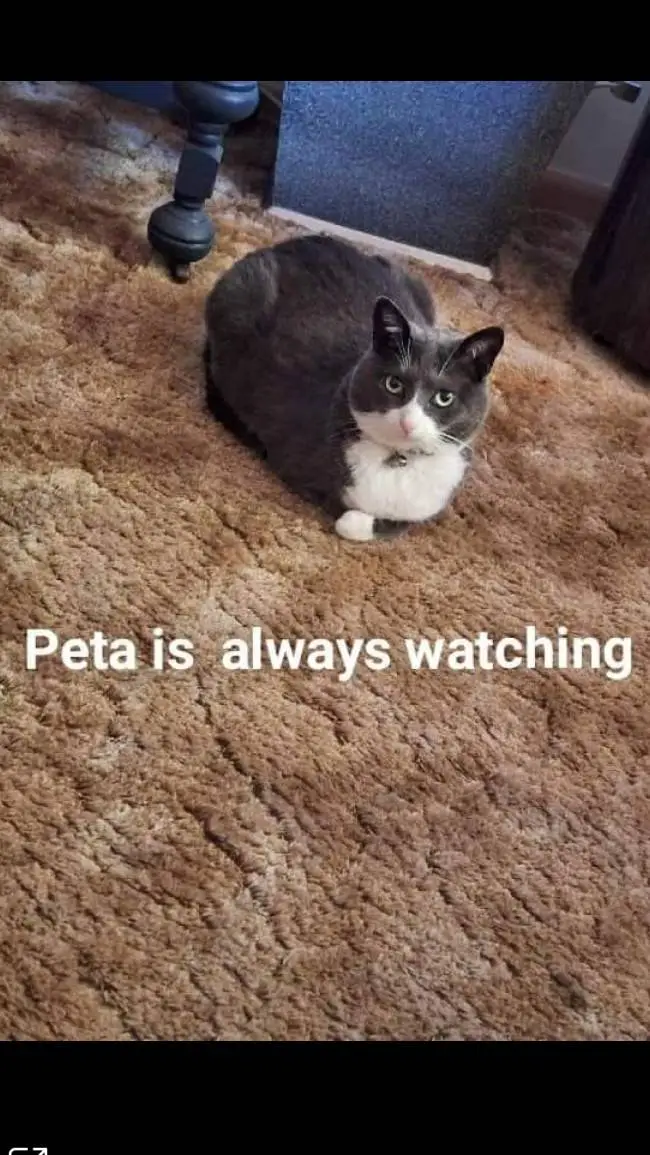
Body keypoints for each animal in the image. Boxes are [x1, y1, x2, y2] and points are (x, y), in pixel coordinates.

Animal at [204, 234, 504, 542]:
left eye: (444, 397)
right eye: (393, 383)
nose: (408, 423)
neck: (399, 459)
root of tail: (291, 242)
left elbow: (400, 522)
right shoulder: (293, 454)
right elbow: (344, 510)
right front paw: (353, 520)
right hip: (238, 294)